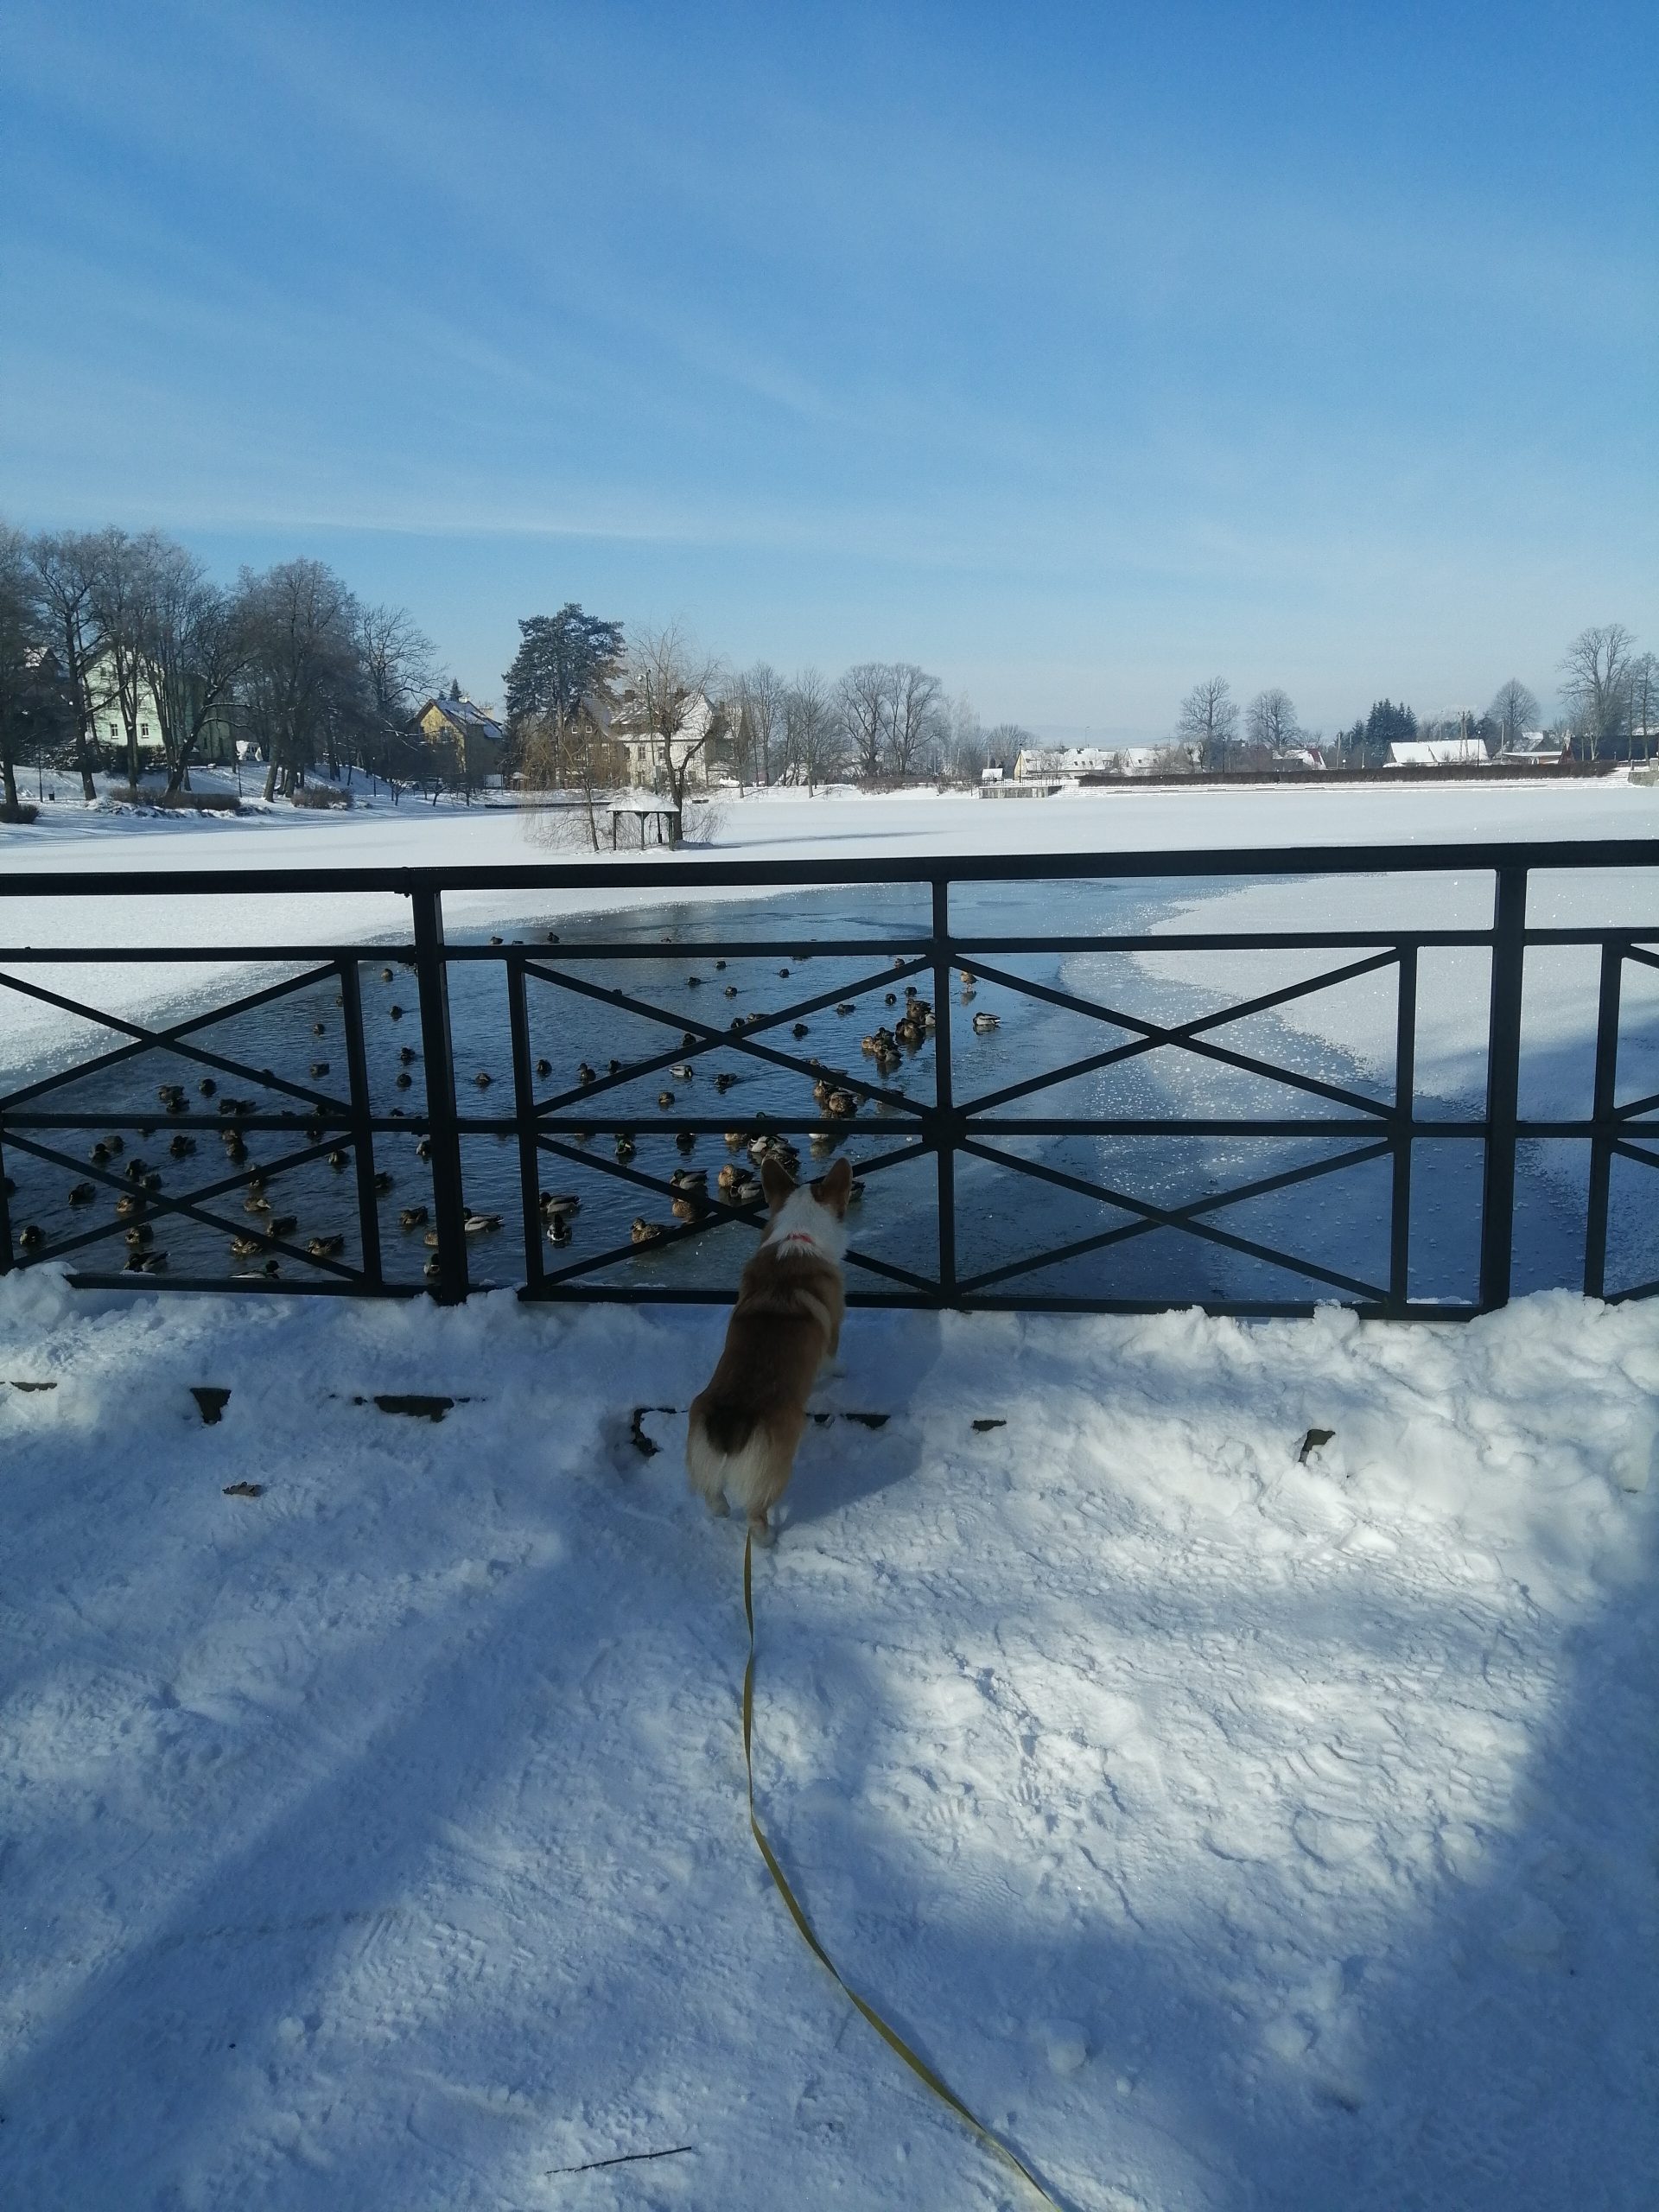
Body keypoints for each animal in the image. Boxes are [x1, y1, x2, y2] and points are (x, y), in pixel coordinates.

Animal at [686, 1154, 853, 1545]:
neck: (797, 1234)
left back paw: (721, 1510)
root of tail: (732, 1419)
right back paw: (768, 1540)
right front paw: (841, 1373)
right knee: (756, 1515)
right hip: (776, 1467)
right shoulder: (833, 1332)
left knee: (714, 1497)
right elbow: (832, 1357)